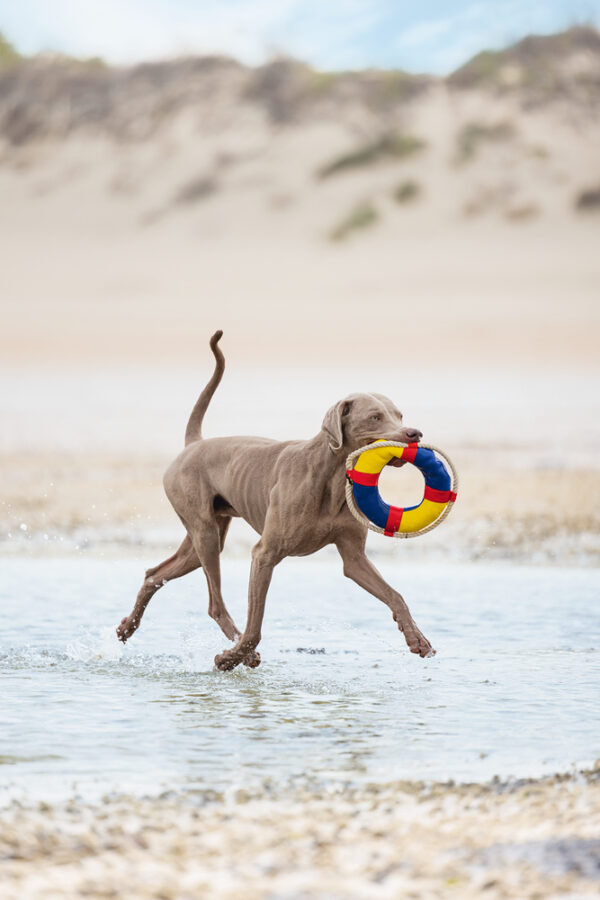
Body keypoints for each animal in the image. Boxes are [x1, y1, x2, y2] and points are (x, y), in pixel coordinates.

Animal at [117, 330, 436, 668]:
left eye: (399, 414)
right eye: (375, 417)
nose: (414, 433)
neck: (331, 477)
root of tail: (194, 443)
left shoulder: (354, 559)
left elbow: (395, 595)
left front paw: (417, 640)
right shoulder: (264, 554)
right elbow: (254, 627)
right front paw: (231, 658)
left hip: (204, 538)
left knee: (155, 575)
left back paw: (126, 628)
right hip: (204, 532)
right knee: (215, 604)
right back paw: (238, 651)